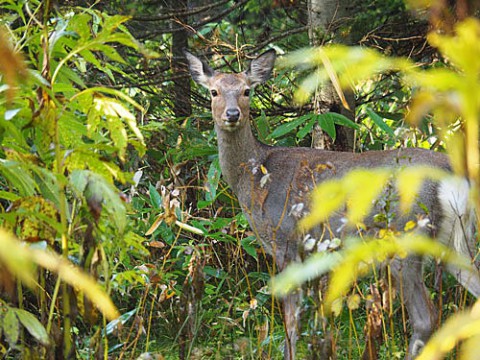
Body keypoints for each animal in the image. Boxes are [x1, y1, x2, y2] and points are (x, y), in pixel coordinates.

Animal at [184, 48, 480, 360]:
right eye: (214, 91)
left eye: (246, 90)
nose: (232, 114)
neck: (254, 176)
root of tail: (454, 174)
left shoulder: (284, 236)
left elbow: (291, 316)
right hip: (455, 238)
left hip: (407, 234)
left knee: (426, 317)